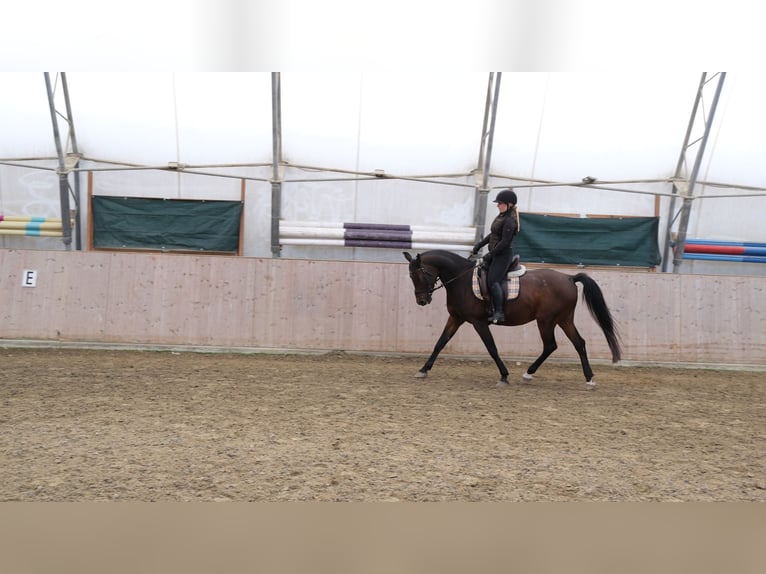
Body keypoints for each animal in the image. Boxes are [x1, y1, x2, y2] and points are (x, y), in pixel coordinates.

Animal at [403, 250, 622, 388]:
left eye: (421, 275)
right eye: (411, 277)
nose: (422, 301)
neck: (461, 280)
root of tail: (569, 278)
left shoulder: (478, 322)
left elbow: (491, 348)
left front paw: (504, 376)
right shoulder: (456, 318)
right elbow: (440, 343)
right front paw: (423, 369)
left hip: (546, 321)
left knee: (551, 345)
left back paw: (529, 373)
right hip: (564, 320)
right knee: (579, 343)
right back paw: (588, 378)